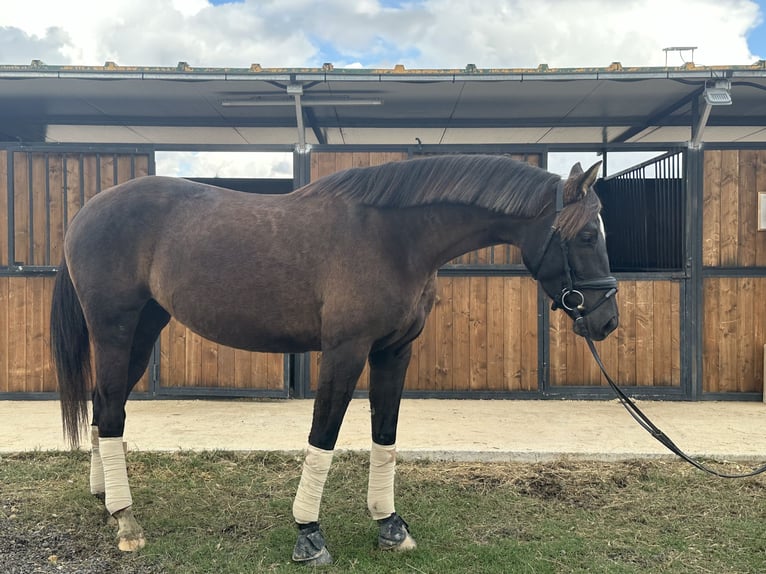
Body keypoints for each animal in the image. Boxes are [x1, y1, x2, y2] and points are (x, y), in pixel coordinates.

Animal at [51, 153, 616, 568]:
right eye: (588, 235)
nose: (607, 321)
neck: (394, 239)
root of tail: (84, 213)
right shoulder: (345, 350)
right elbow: (323, 434)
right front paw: (308, 533)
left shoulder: (394, 351)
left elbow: (384, 435)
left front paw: (390, 525)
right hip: (115, 329)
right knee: (112, 411)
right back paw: (126, 520)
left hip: (144, 328)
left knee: (105, 407)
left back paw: (106, 500)